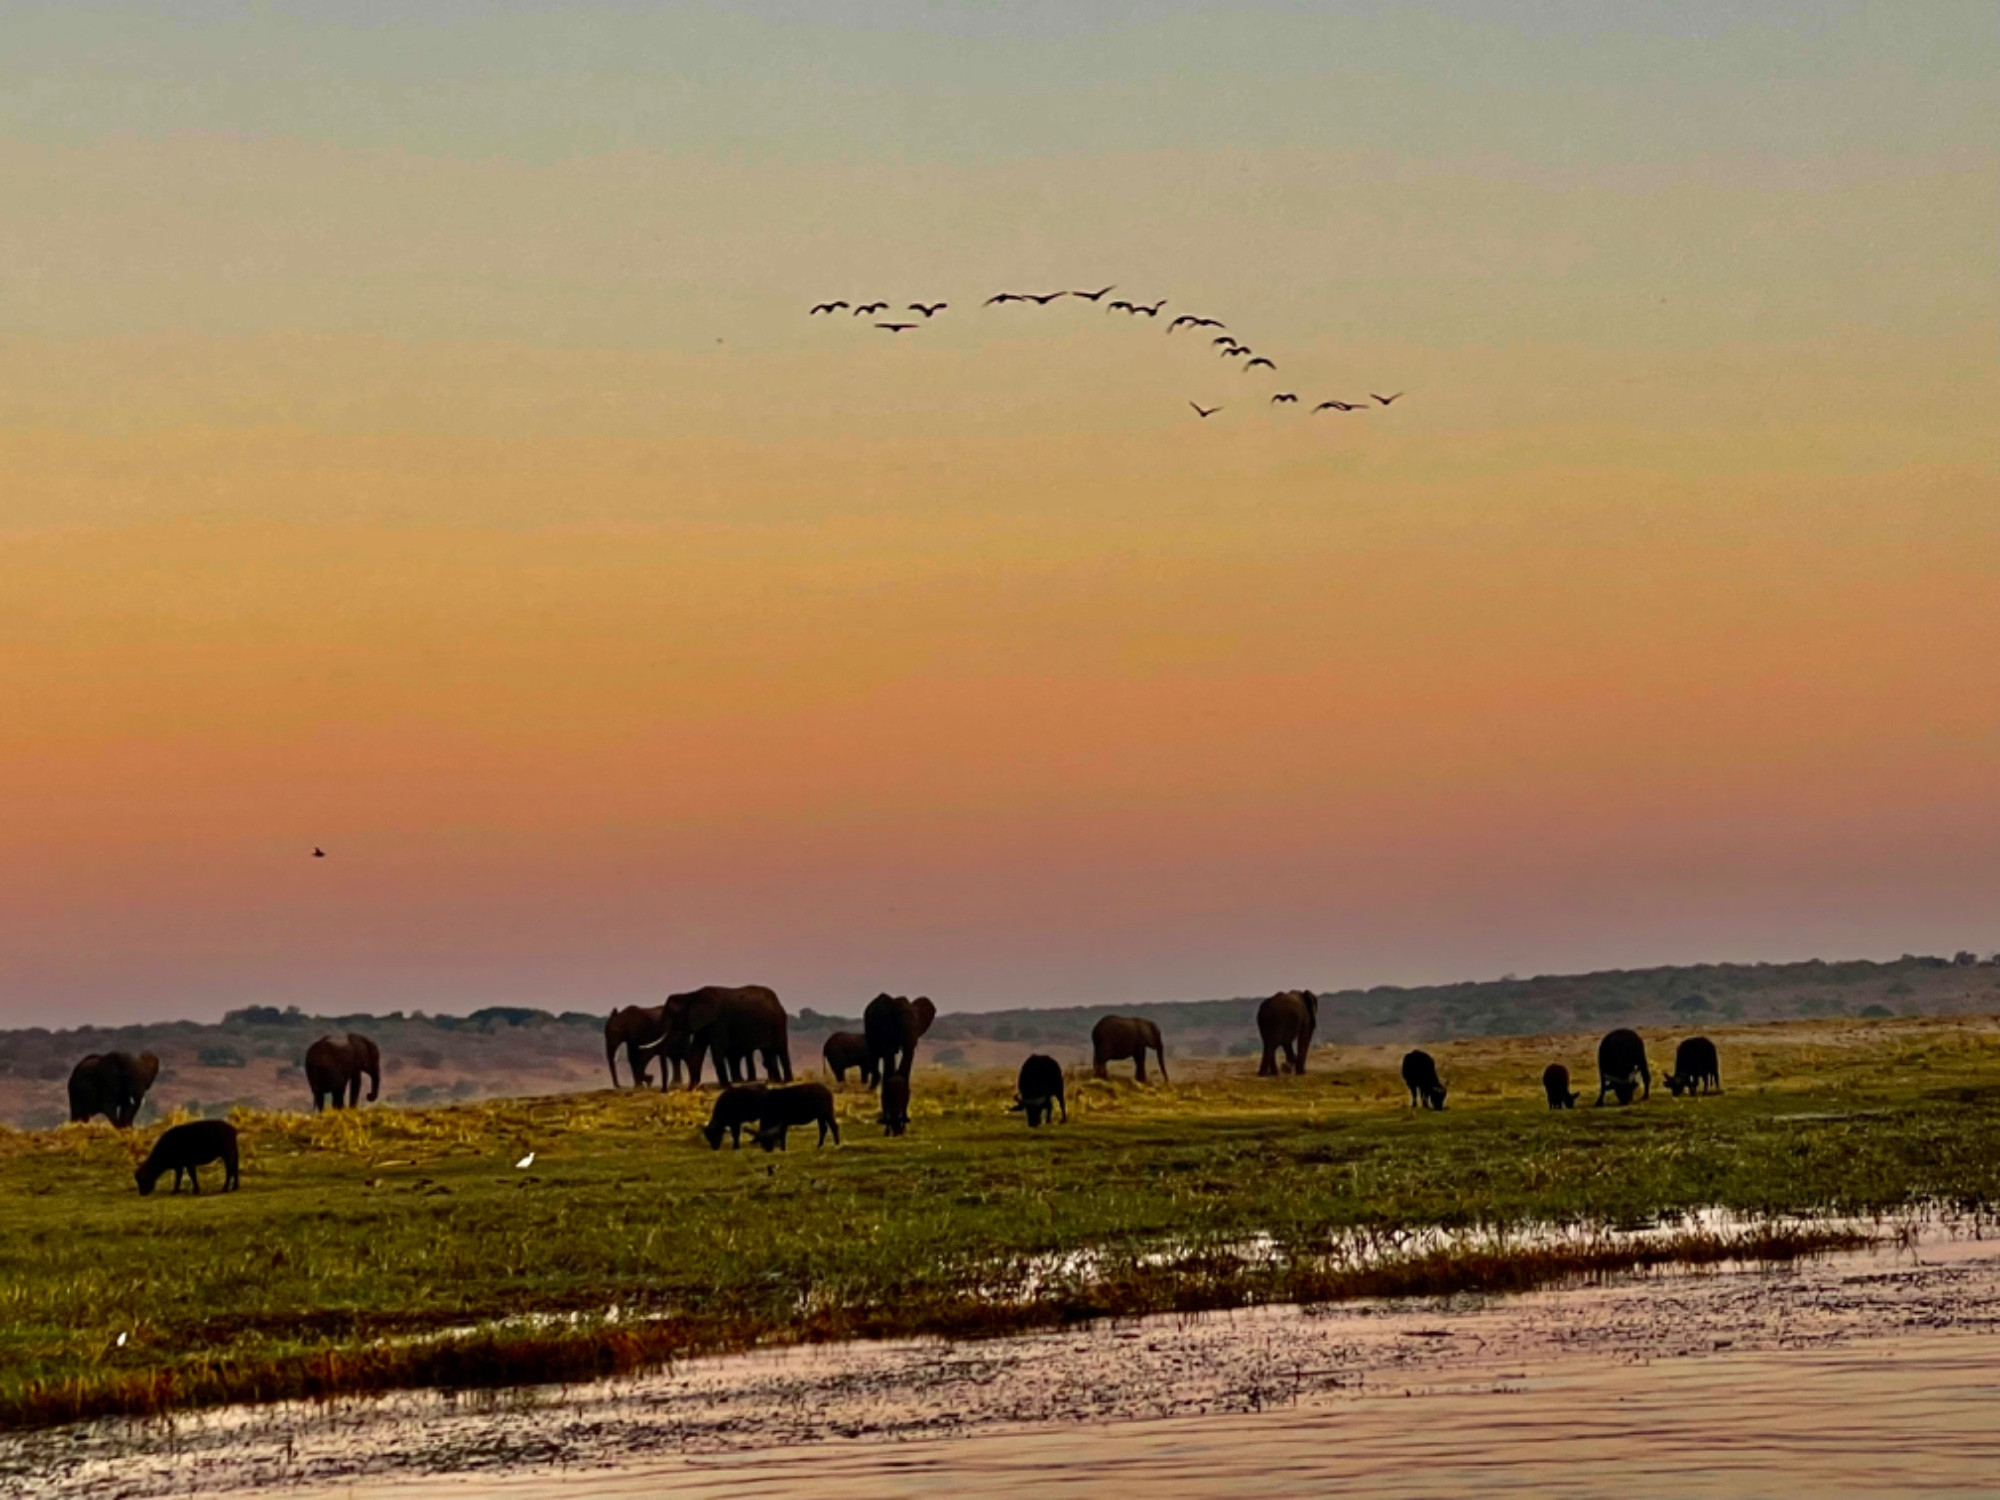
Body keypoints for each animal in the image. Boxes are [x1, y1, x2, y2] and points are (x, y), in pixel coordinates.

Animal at [656, 988, 788, 1096]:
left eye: (672, 1015)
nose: (664, 1091)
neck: (690, 996)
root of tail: (778, 1001)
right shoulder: (703, 1025)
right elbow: (697, 1052)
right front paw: (691, 1089)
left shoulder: (718, 1023)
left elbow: (717, 1052)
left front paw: (726, 1086)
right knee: (769, 1052)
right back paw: (777, 1081)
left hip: (778, 1021)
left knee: (781, 1050)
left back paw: (786, 1081)